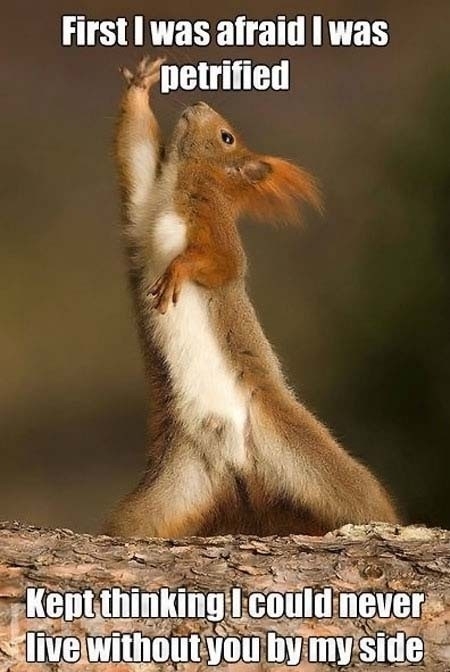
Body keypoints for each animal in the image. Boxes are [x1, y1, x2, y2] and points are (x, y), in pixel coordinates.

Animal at [106, 56, 399, 538]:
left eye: (227, 137)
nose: (199, 103)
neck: (177, 186)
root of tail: (237, 463)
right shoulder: (142, 202)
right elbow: (135, 152)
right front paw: (140, 85)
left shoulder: (214, 226)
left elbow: (222, 263)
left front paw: (178, 271)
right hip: (167, 491)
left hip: (316, 463)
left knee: (363, 501)